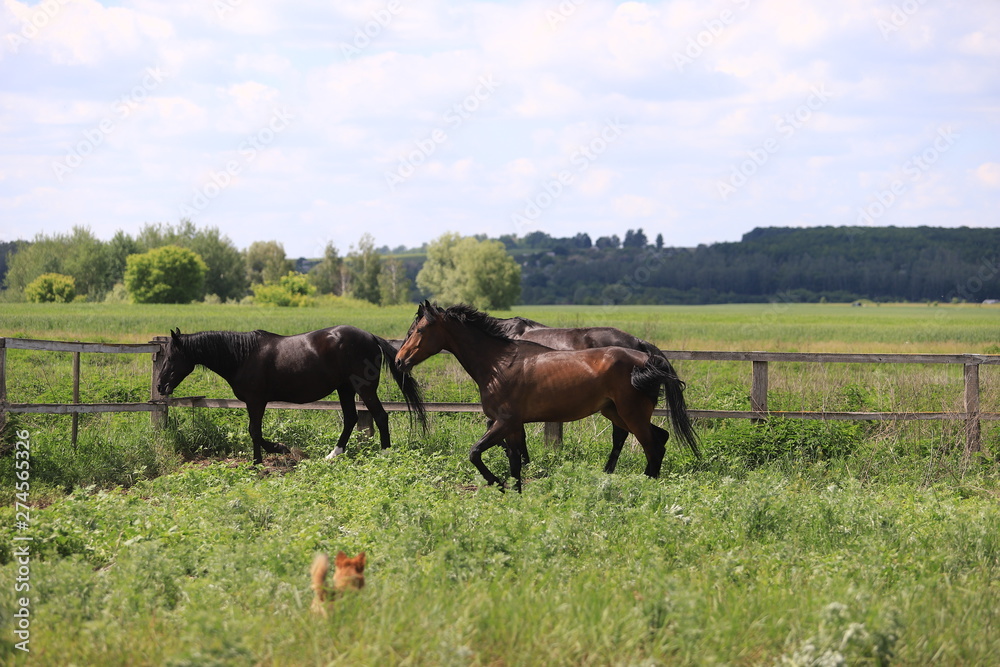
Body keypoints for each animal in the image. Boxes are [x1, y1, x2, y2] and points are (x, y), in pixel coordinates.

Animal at [156, 324, 426, 462]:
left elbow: (254, 431)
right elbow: (255, 432)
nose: (160, 386)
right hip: (345, 388)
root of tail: (370, 336)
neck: (242, 355)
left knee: (380, 416)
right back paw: (333, 454)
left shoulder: (256, 401)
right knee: (351, 418)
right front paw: (272, 452)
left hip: (363, 388)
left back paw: (385, 454)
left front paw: (267, 455)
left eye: (171, 357)